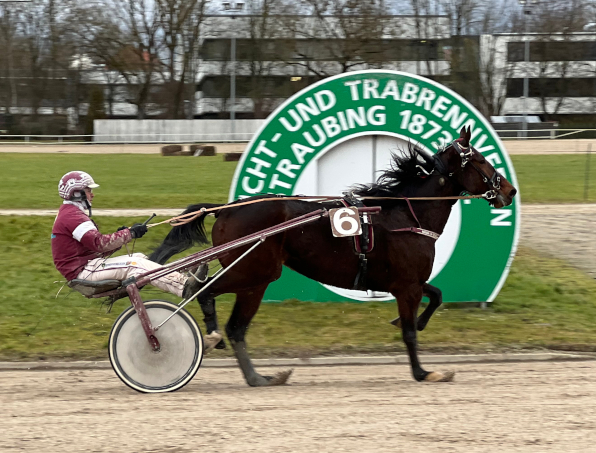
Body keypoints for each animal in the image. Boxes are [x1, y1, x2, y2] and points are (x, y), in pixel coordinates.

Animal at [150, 126, 516, 384]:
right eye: (480, 159)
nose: (510, 190)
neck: (407, 215)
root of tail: (228, 208)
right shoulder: (407, 286)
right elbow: (411, 332)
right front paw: (425, 371)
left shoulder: (406, 281)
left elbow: (437, 295)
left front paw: (409, 323)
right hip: (256, 273)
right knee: (209, 297)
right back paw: (221, 343)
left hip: (254, 278)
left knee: (229, 319)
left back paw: (259, 375)